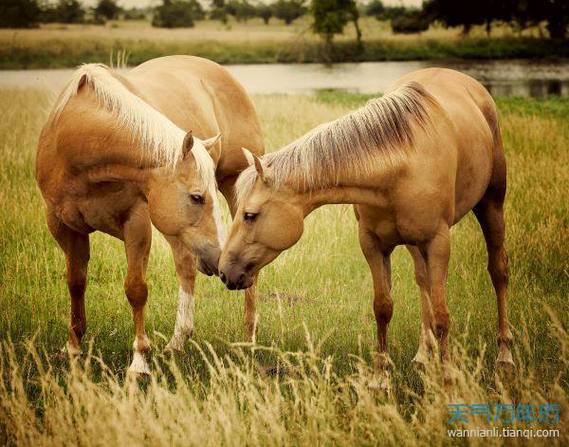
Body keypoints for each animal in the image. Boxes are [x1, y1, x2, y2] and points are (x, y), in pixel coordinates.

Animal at [37, 55, 264, 374]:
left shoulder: (137, 222)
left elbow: (136, 289)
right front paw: (72, 348)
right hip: (174, 230)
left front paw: (139, 361)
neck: (77, 141)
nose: (218, 260)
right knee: (186, 266)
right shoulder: (63, 227)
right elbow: (76, 283)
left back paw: (248, 339)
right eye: (196, 197)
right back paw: (178, 342)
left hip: (234, 189)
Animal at [220, 68, 512, 384]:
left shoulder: (438, 242)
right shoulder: (372, 244)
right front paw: (380, 378)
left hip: (491, 204)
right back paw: (423, 355)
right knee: (422, 281)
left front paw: (448, 378)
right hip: (414, 243)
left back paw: (505, 356)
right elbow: (383, 308)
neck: (400, 166)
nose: (224, 271)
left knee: (498, 271)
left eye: (250, 215)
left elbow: (443, 315)